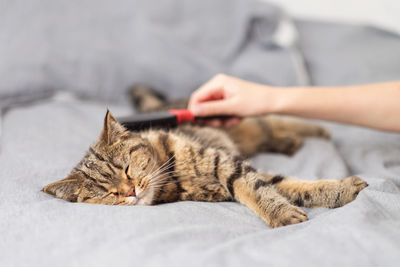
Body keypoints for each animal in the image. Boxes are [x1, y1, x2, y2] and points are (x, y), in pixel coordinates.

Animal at [42, 86, 368, 228]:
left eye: (126, 170)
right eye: (107, 194)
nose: (130, 191)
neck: (171, 180)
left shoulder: (228, 165)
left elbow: (261, 190)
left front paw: (283, 213)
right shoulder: (233, 174)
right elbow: (283, 186)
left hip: (243, 121)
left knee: (274, 120)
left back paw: (316, 130)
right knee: (271, 132)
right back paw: (291, 142)